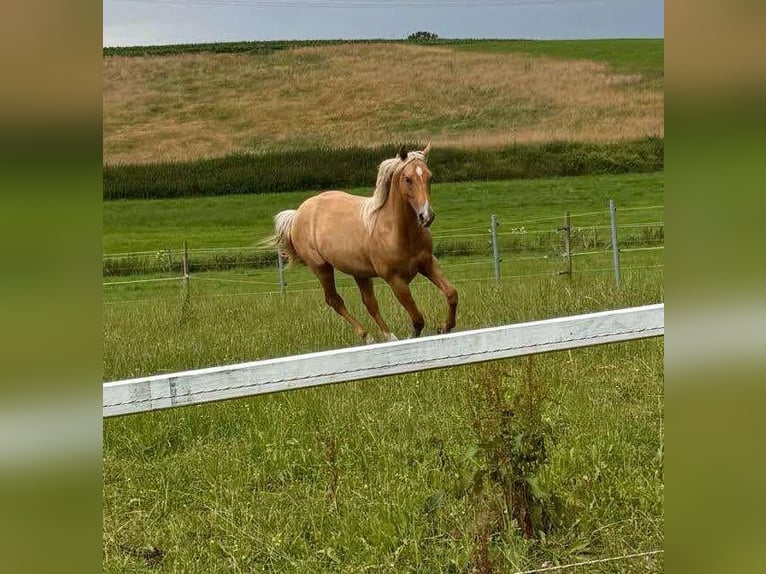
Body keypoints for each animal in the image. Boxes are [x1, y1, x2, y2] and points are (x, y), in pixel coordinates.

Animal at [268, 142, 460, 344]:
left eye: (430, 177)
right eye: (408, 179)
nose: (426, 216)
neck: (395, 231)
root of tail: (297, 214)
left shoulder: (428, 263)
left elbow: (452, 294)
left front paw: (445, 327)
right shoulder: (395, 280)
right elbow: (417, 319)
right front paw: (413, 336)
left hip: (359, 273)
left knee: (370, 304)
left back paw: (389, 337)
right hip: (321, 268)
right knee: (334, 300)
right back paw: (368, 337)